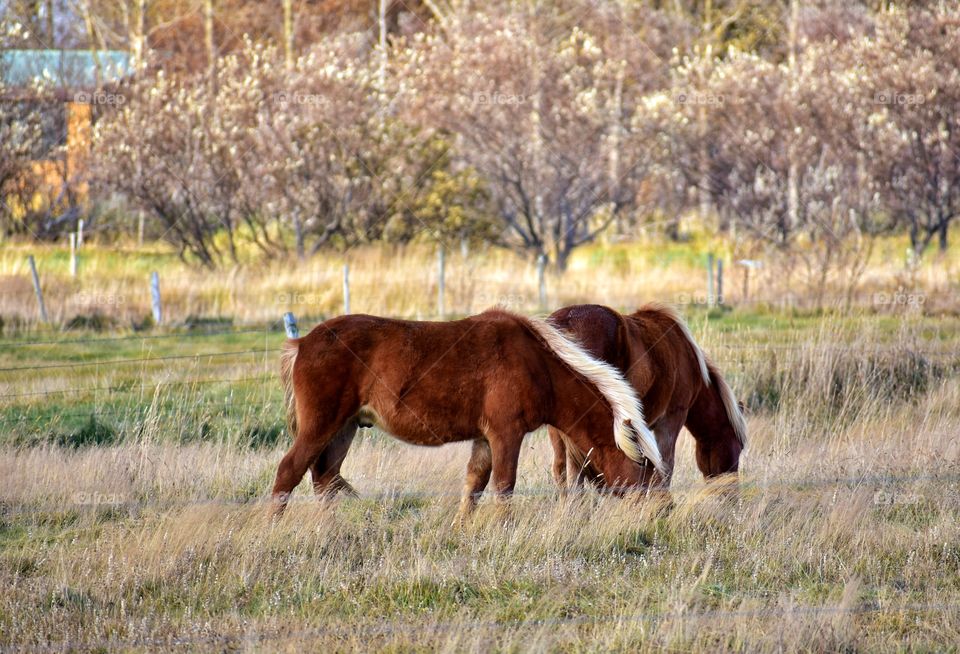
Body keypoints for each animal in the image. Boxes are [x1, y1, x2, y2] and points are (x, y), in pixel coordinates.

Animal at [272, 309, 666, 518]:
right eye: (645, 465)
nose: (665, 508)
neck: (537, 363)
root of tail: (302, 343)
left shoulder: (484, 439)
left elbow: (474, 485)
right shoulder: (505, 435)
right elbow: (503, 487)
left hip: (344, 429)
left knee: (325, 478)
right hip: (321, 427)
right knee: (289, 473)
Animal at [546, 303, 747, 489]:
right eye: (738, 447)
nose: (733, 493)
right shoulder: (672, 419)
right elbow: (665, 467)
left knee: (561, 469)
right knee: (575, 472)